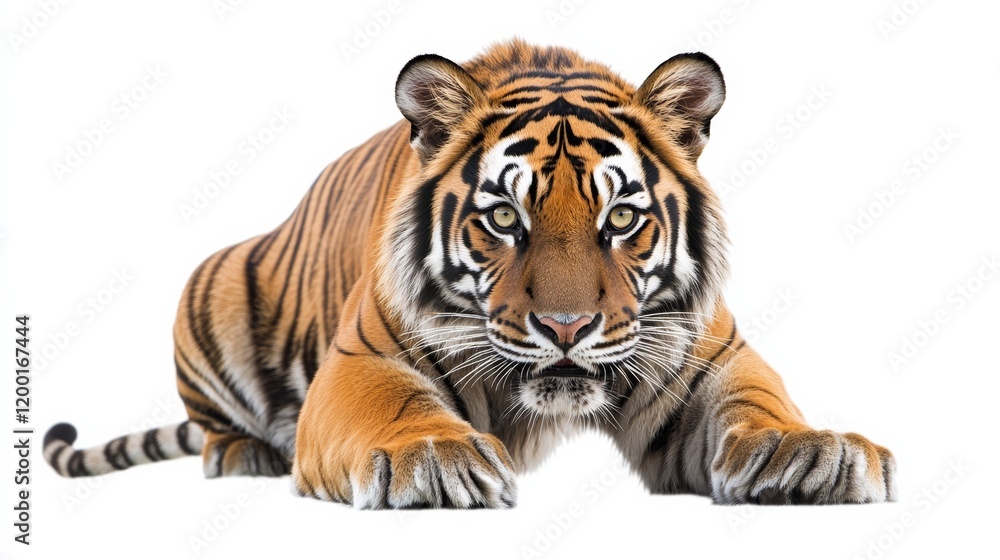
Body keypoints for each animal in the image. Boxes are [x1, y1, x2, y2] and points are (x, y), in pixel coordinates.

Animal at [44, 39, 896, 507]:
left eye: (621, 219)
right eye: (504, 219)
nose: (565, 329)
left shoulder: (709, 356)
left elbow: (761, 403)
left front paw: (811, 452)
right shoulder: (359, 361)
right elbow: (396, 409)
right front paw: (436, 457)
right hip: (210, 282)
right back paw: (243, 453)